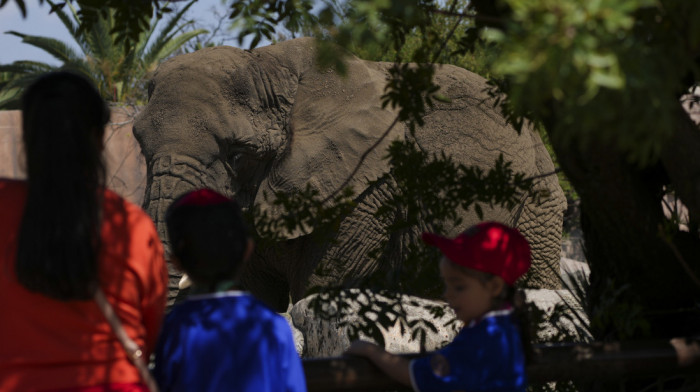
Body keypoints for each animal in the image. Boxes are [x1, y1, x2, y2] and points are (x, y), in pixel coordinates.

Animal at [134, 38, 568, 310]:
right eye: (141, 147)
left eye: (238, 156)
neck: (271, 65)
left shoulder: (367, 186)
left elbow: (320, 285)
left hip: (538, 204)